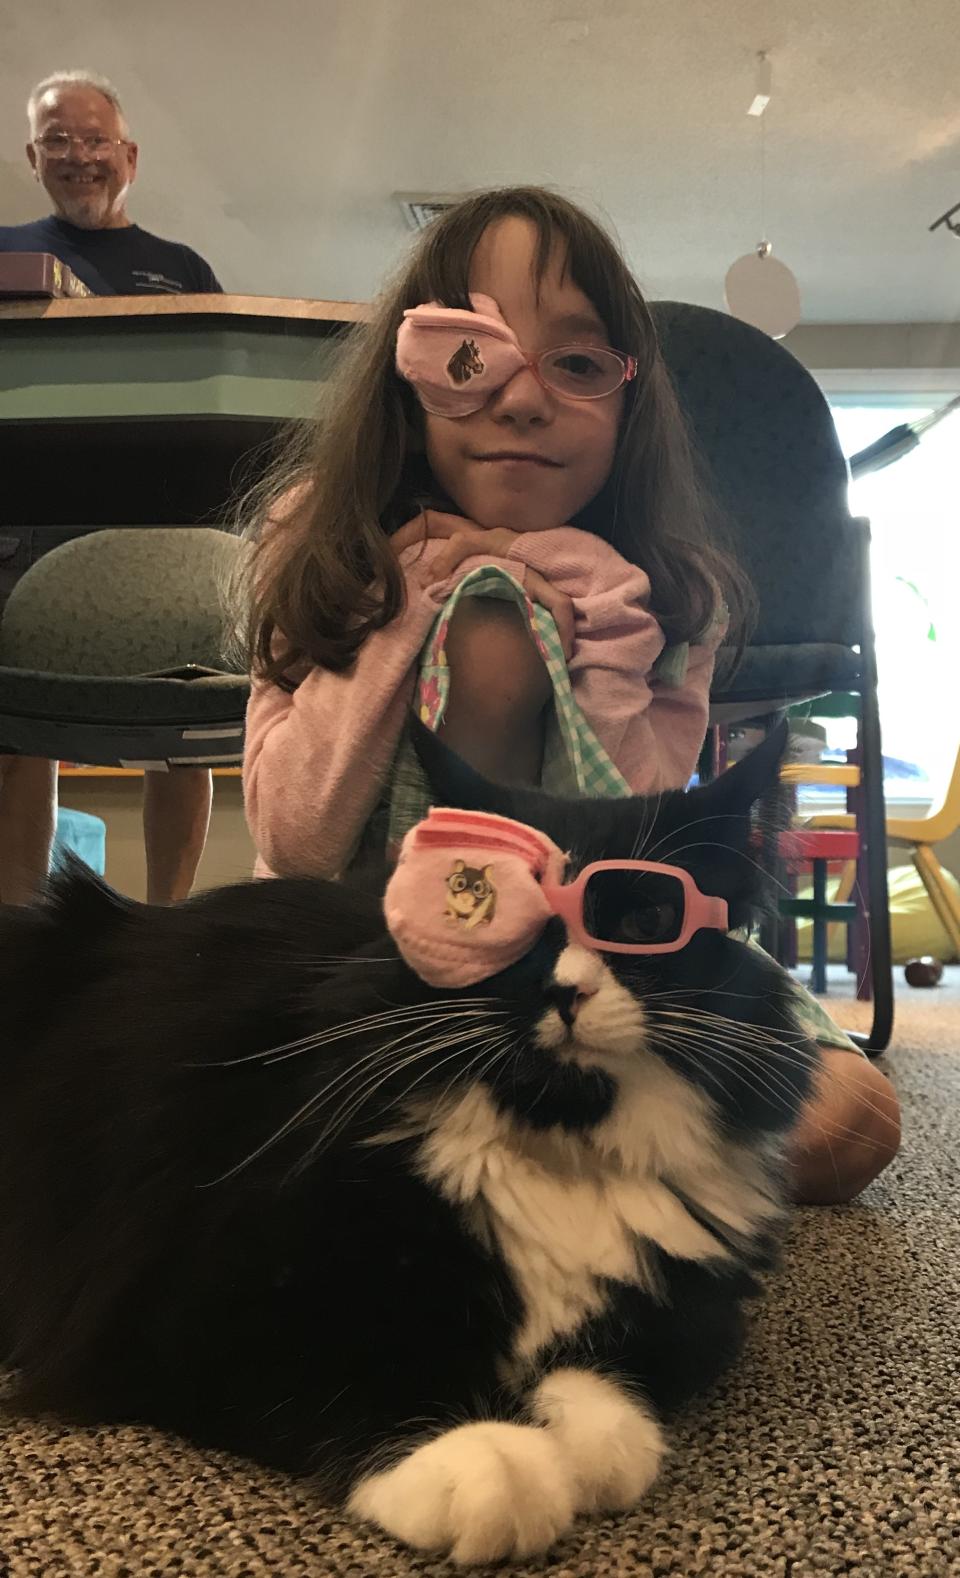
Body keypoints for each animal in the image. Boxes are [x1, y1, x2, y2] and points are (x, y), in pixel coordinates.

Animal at [0, 722, 814, 1565]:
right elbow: (354, 1364)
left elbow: (609, 1382)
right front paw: (483, 1459)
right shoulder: (185, 1299)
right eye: (490, 917)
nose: (563, 990)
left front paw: (584, 1446)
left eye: (646, 922)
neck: (553, 1141)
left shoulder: (694, 1312)